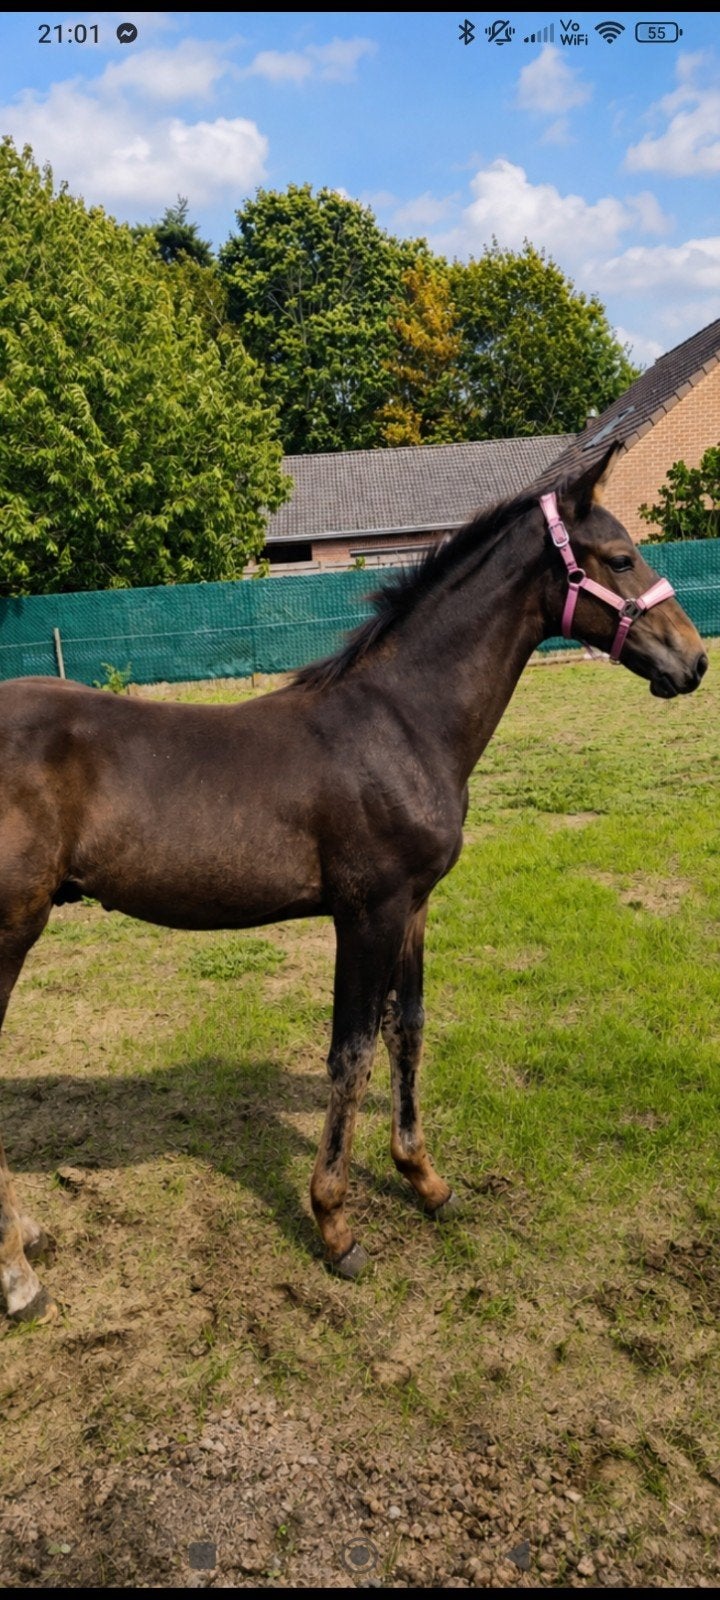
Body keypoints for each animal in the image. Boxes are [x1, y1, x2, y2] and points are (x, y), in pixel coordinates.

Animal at [0, 446, 707, 1322]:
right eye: (619, 556)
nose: (694, 660)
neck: (401, 723)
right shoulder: (366, 914)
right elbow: (353, 1051)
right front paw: (336, 1227)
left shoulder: (414, 908)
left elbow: (409, 1032)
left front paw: (426, 1182)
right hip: (10, 929)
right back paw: (19, 1280)